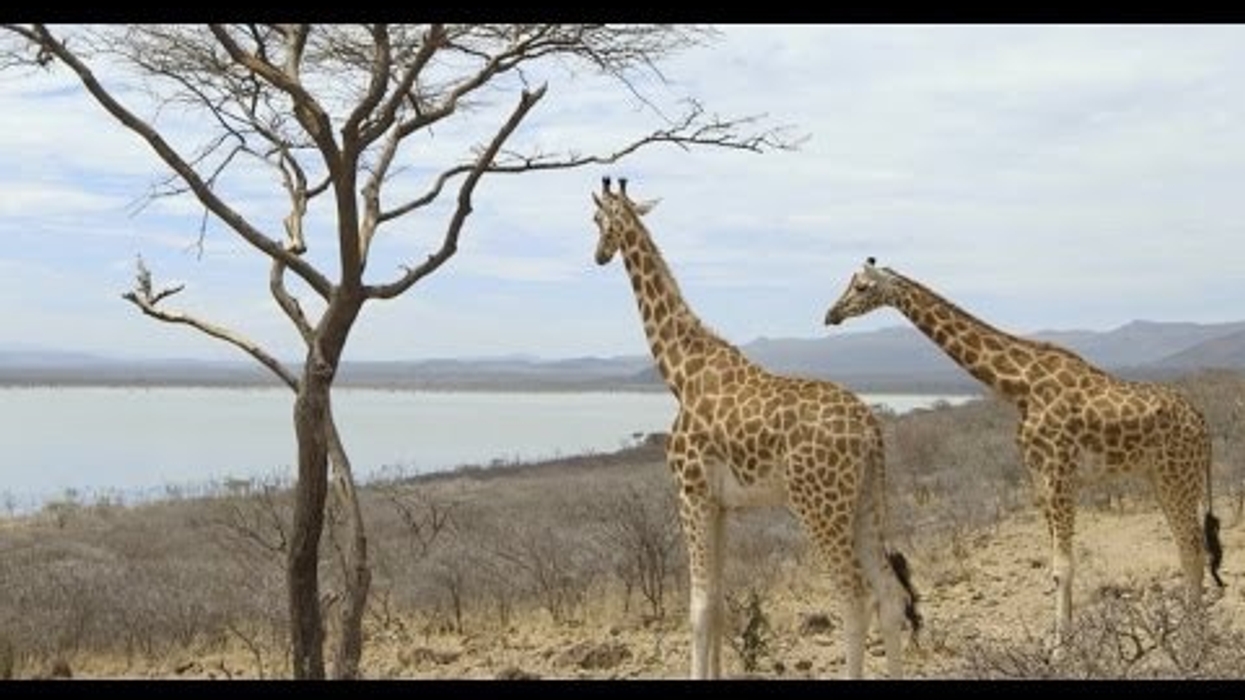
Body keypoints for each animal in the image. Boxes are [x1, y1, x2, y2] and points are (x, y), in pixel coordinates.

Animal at [591, 178, 920, 679]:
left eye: (595, 220)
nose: (598, 255)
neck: (681, 372)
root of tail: (870, 430)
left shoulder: (690, 493)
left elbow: (698, 606)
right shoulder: (722, 504)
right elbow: (718, 603)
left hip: (819, 506)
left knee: (854, 595)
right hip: (865, 499)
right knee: (888, 591)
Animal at [824, 257, 1225, 646]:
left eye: (862, 287)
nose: (831, 314)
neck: (1019, 387)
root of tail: (1203, 422)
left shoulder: (1060, 472)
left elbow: (1063, 566)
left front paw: (1062, 650)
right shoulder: (1038, 476)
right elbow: (1055, 567)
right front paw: (1062, 642)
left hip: (1178, 476)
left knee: (1193, 545)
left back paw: (1195, 636)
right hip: (1162, 477)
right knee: (1186, 545)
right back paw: (1192, 629)